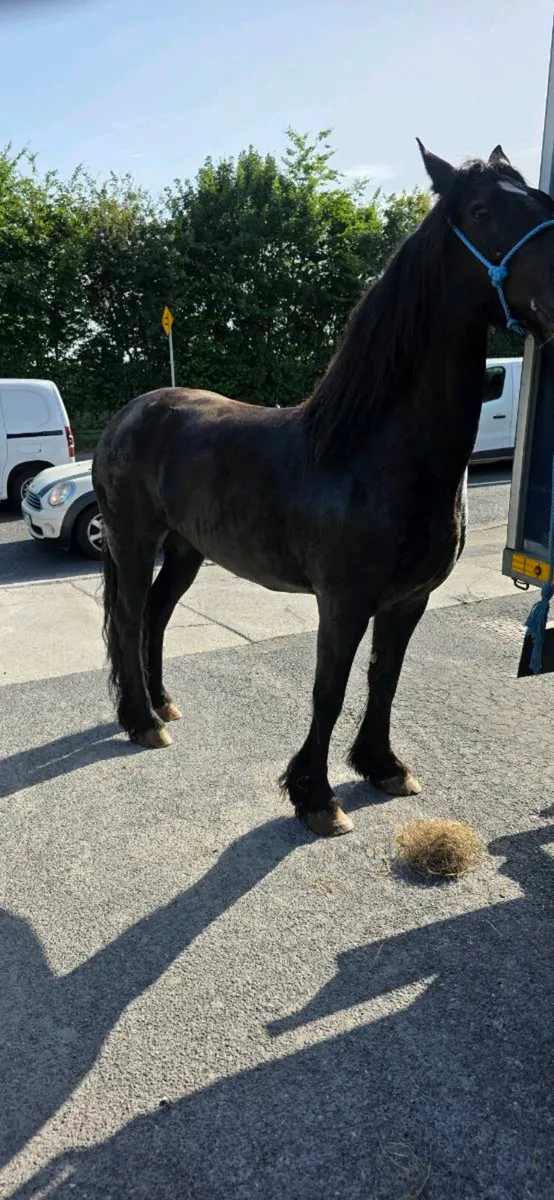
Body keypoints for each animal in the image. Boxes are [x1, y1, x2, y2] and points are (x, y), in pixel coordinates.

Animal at [93, 141, 554, 837]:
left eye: (541, 197)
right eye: (480, 210)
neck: (378, 453)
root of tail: (128, 414)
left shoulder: (408, 600)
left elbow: (385, 678)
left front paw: (383, 766)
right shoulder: (343, 601)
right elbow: (329, 690)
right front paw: (316, 797)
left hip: (186, 549)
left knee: (156, 616)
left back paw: (164, 705)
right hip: (132, 541)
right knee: (127, 618)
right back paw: (143, 722)